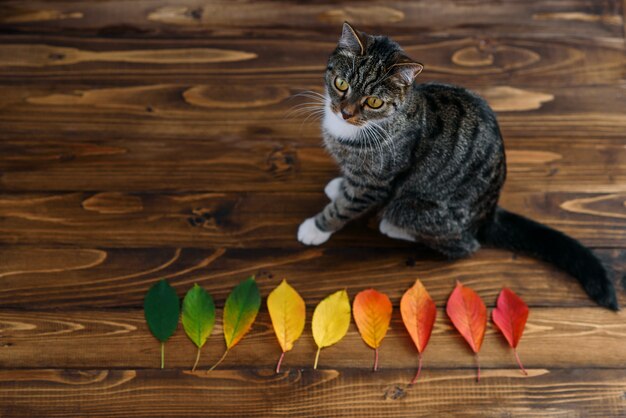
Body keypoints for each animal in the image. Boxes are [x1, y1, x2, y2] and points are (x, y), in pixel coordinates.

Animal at [294, 22, 616, 310]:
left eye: (373, 102)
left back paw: (392, 225)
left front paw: (316, 227)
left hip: (415, 207)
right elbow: (347, 184)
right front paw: (338, 185)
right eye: (341, 84)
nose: (345, 113)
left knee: (462, 245)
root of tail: (488, 215)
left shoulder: (376, 181)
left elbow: (345, 206)